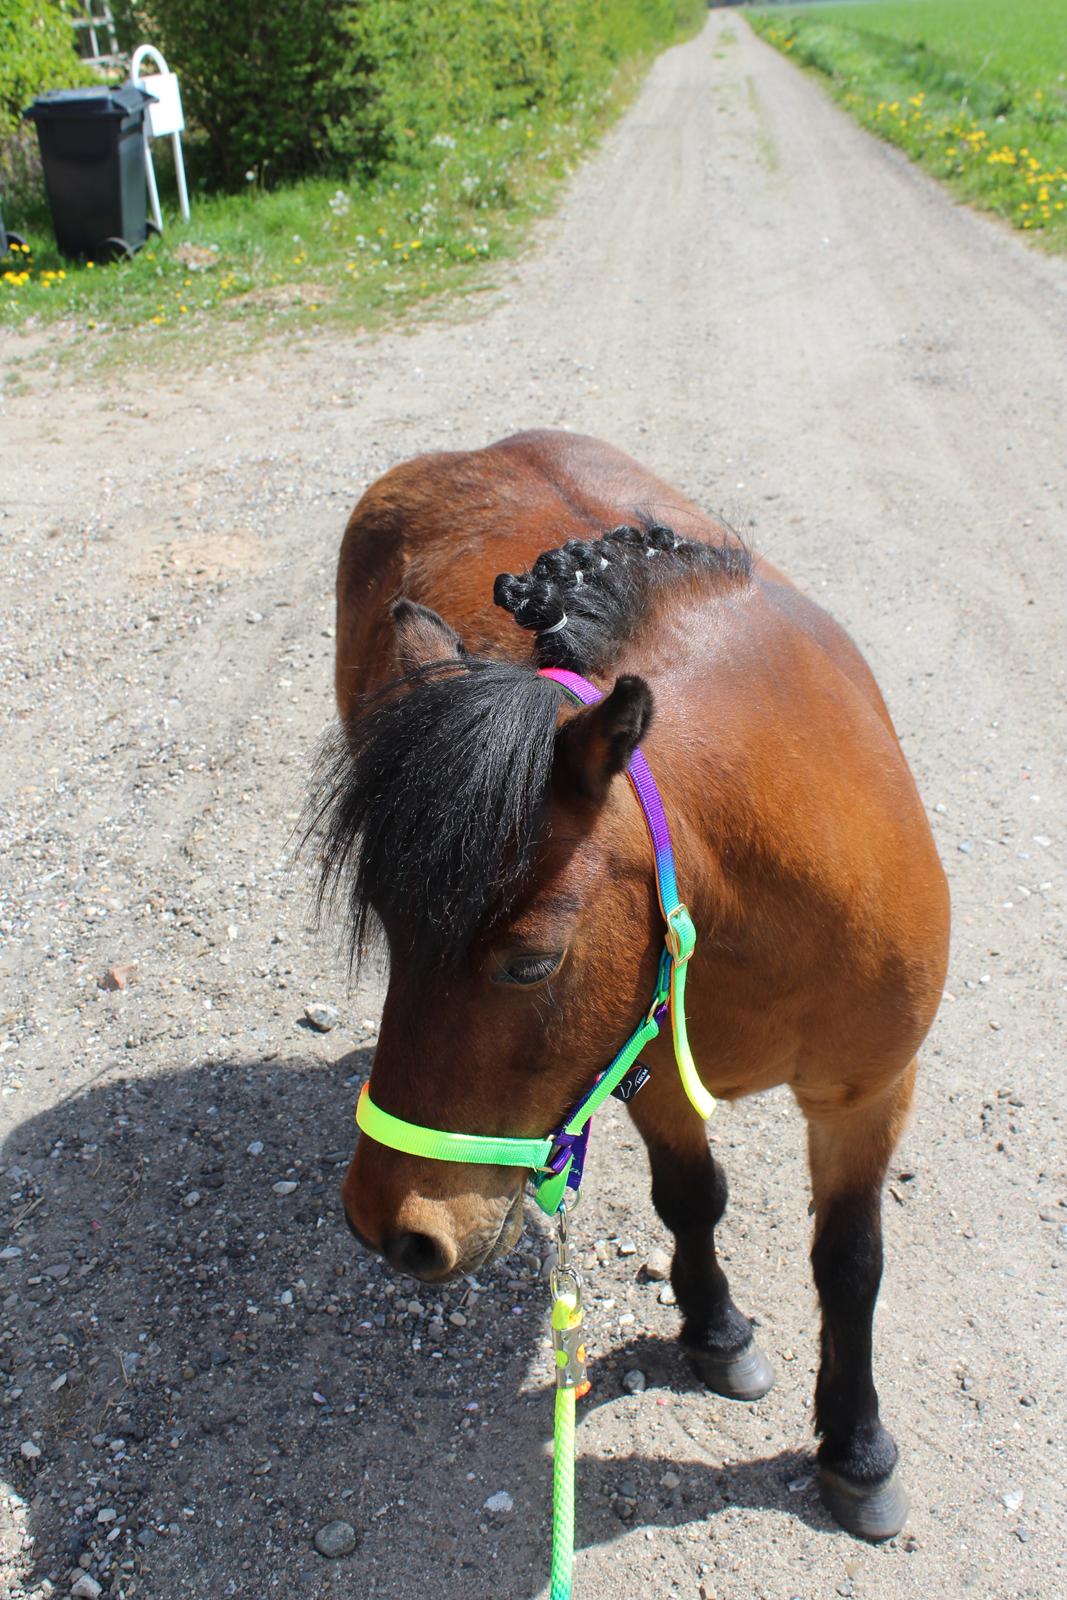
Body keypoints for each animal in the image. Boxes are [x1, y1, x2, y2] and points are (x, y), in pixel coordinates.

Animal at [310, 425, 953, 1536]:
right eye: (389, 929)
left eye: (529, 960)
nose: (387, 1227)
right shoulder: (642, 1068)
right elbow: (689, 1197)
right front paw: (717, 1332)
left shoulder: (866, 1092)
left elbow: (849, 1265)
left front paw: (857, 1449)